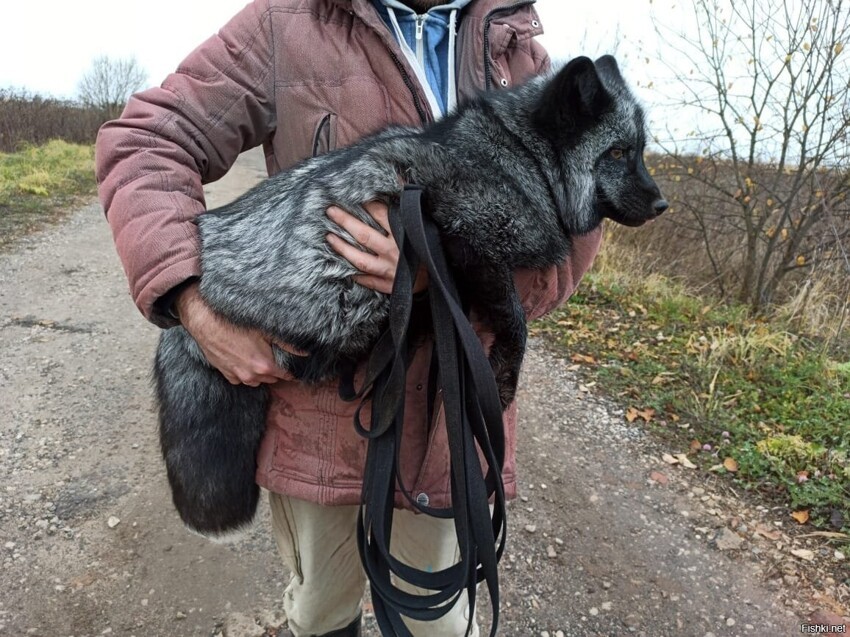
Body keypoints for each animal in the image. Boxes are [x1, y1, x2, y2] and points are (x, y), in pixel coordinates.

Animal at [156, 56, 664, 536]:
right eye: (618, 152)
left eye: (639, 151)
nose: (662, 205)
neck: (522, 160)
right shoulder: (462, 236)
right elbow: (516, 324)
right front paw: (502, 380)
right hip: (338, 304)